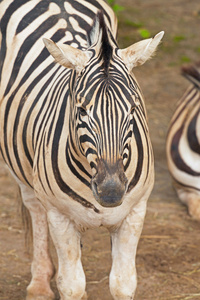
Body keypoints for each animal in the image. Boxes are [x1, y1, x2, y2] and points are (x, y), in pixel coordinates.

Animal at [0, 0, 163, 300]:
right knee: (34, 208)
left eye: (133, 109)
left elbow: (123, 283)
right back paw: (39, 284)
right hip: (21, 168)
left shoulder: (135, 213)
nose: (111, 193)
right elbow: (71, 285)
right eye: (82, 110)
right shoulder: (60, 216)